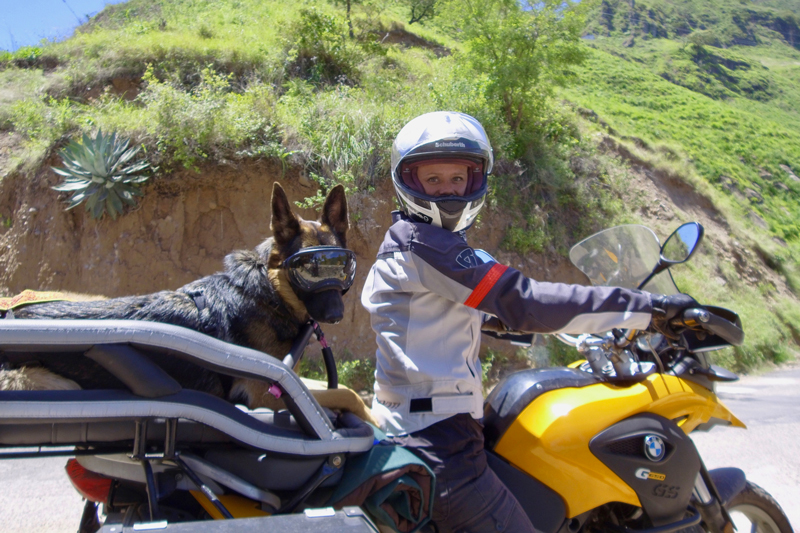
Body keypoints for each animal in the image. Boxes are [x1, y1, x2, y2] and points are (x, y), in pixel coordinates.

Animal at [0, 183, 350, 408]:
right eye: (309, 267)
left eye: (341, 266)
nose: (337, 315)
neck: (269, 292)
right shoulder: (268, 396)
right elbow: (344, 396)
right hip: (55, 382)